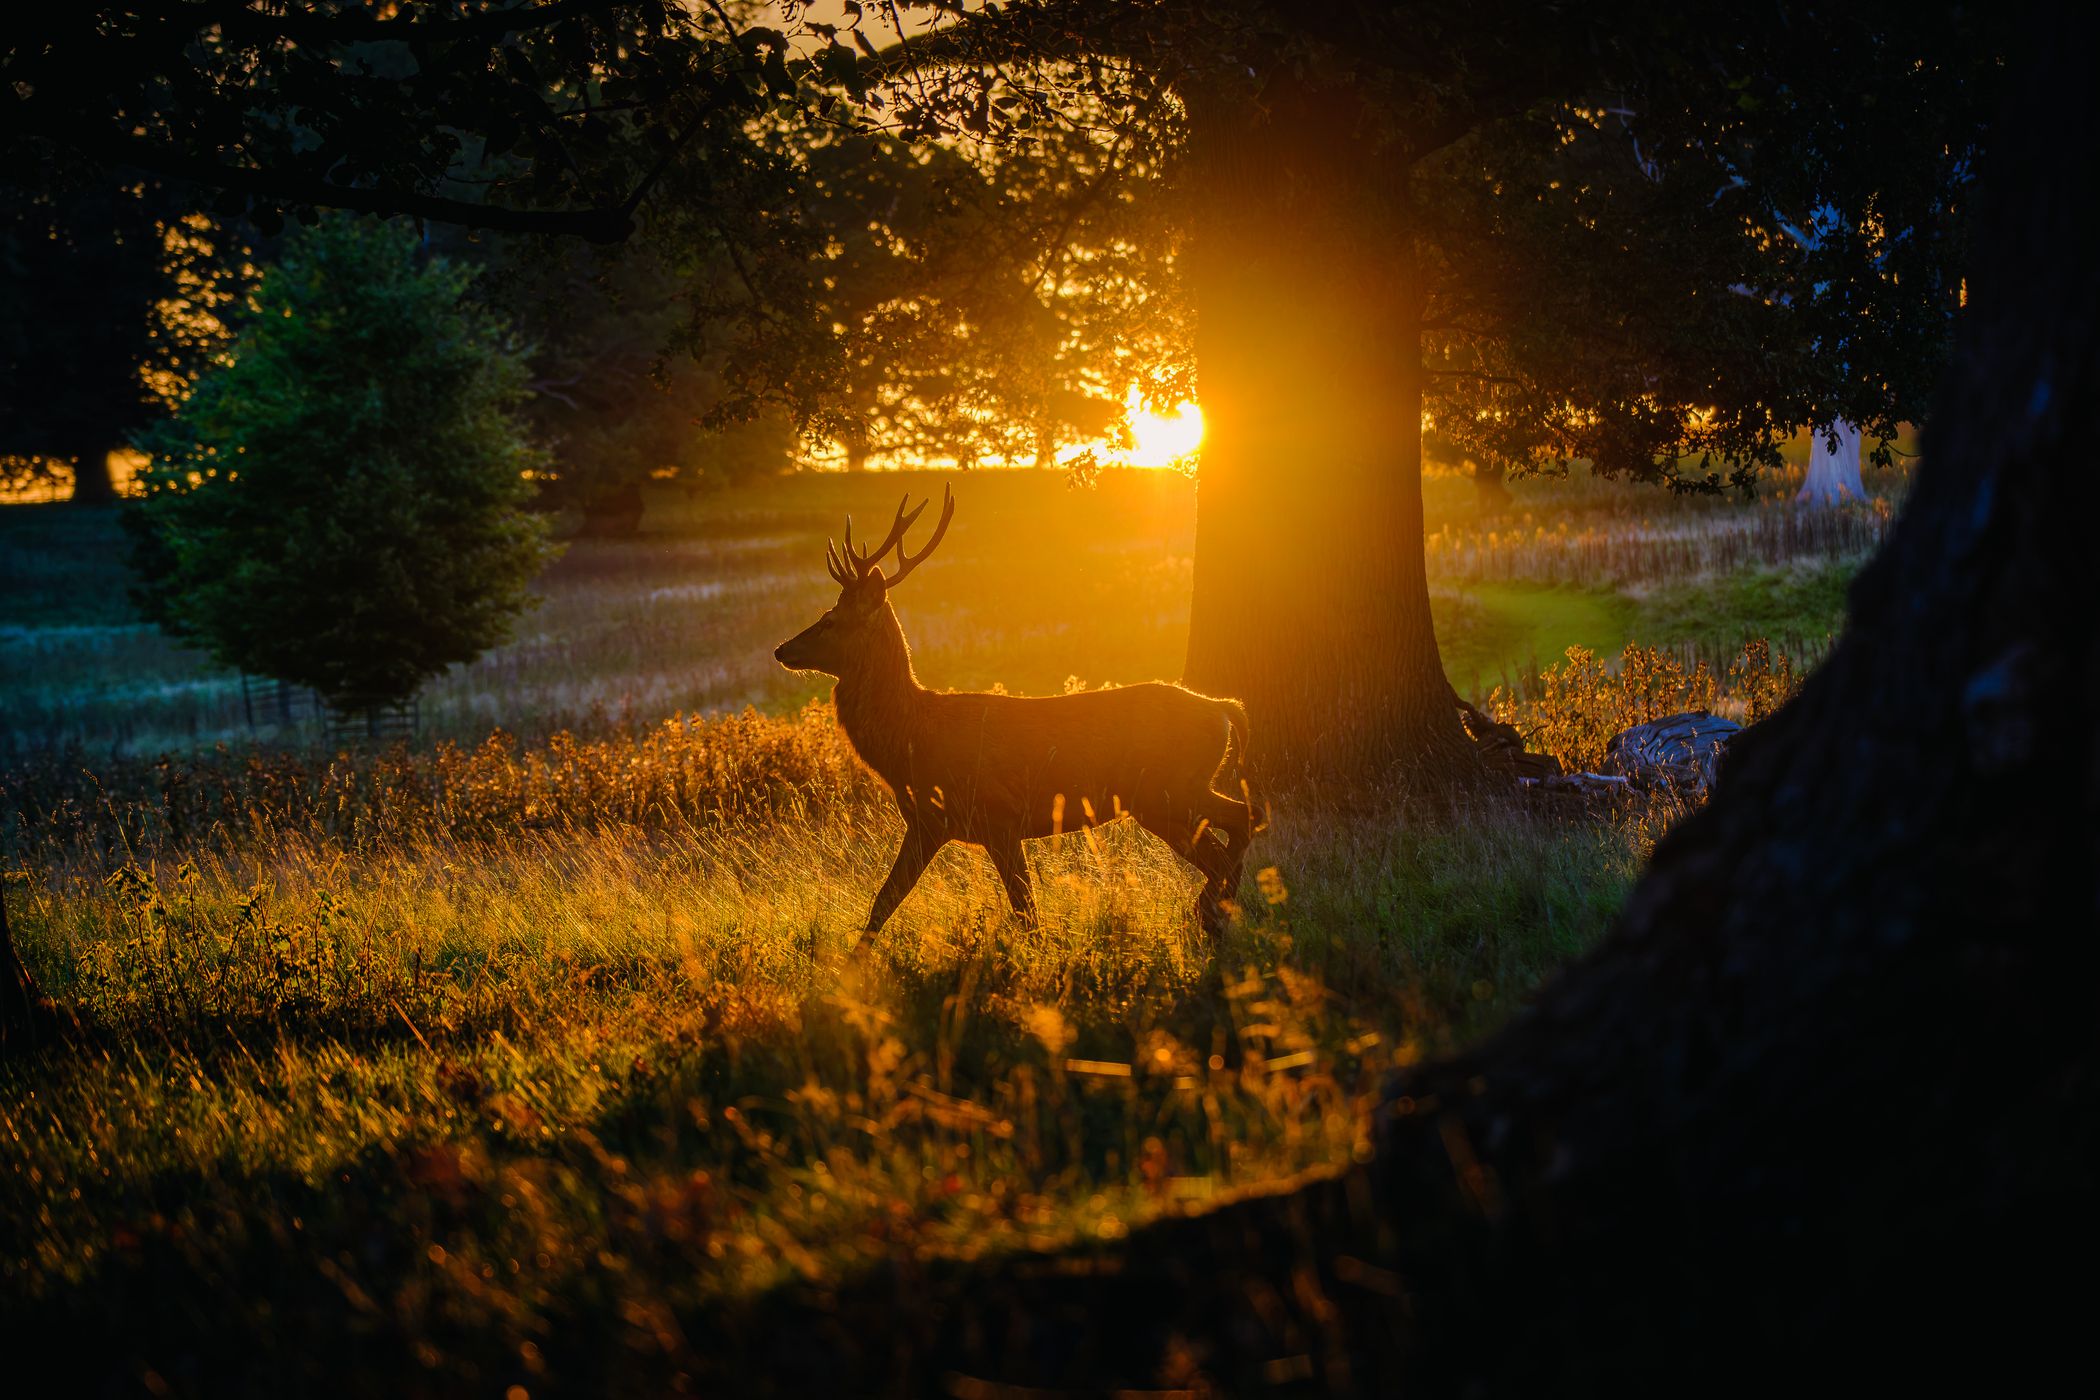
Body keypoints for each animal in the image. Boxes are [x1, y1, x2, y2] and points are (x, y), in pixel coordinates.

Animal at [773, 486, 1259, 947]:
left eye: (831, 620)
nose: (781, 650)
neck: (911, 740)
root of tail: (1223, 709)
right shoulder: (929, 823)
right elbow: (884, 902)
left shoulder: (998, 815)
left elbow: (1026, 911)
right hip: (1166, 799)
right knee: (1227, 841)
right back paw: (1215, 916)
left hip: (1171, 788)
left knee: (1244, 821)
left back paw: (1212, 912)